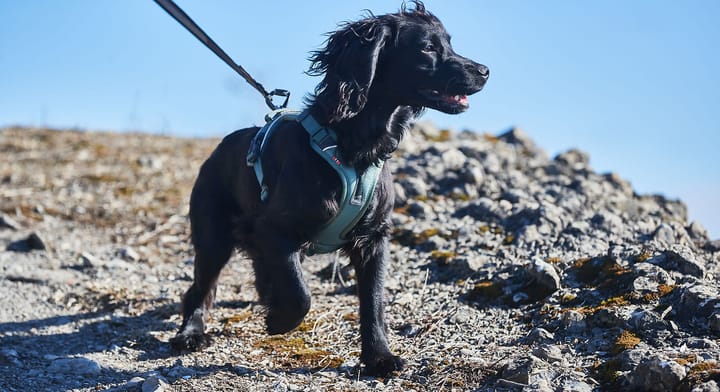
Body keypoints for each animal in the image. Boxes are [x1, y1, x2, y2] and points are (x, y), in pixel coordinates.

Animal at [169, 2, 486, 376]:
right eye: (427, 48)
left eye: (449, 43)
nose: (485, 71)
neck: (352, 147)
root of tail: (217, 150)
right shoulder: (275, 230)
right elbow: (300, 293)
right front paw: (279, 320)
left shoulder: (373, 239)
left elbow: (372, 302)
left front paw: (379, 357)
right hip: (213, 237)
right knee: (200, 288)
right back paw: (191, 333)